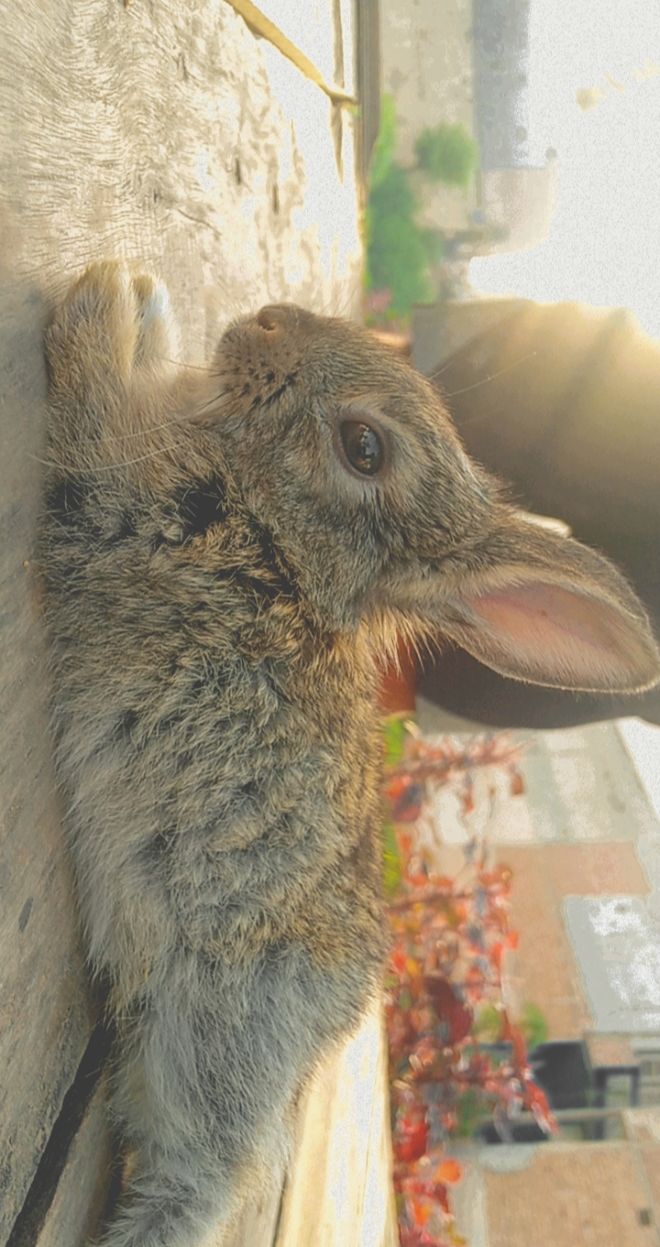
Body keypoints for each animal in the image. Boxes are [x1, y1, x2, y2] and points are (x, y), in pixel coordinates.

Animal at [39, 262, 660, 1247]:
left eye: (364, 448)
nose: (265, 321)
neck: (284, 549)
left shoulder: (124, 505)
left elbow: (89, 421)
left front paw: (107, 305)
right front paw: (148, 305)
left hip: (218, 1029)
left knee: (197, 1181)